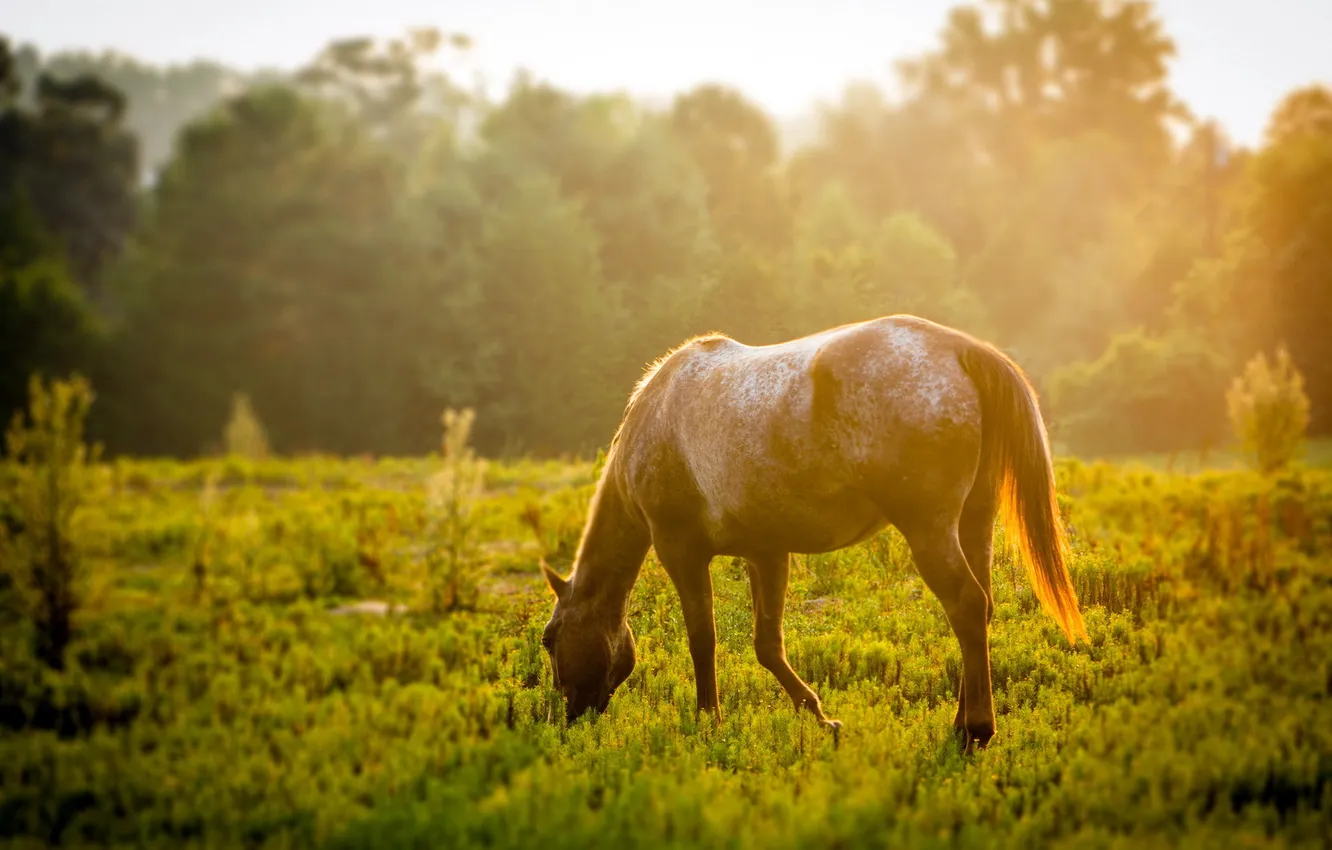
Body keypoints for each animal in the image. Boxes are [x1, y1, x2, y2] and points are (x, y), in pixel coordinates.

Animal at [540, 314, 1085, 748]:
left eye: (549, 639)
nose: (567, 717)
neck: (658, 415)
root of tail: (960, 350)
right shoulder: (766, 553)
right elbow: (767, 644)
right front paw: (821, 718)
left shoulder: (681, 551)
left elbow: (703, 639)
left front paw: (708, 721)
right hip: (974, 523)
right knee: (981, 610)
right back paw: (959, 723)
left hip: (929, 531)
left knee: (967, 606)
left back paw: (976, 730)